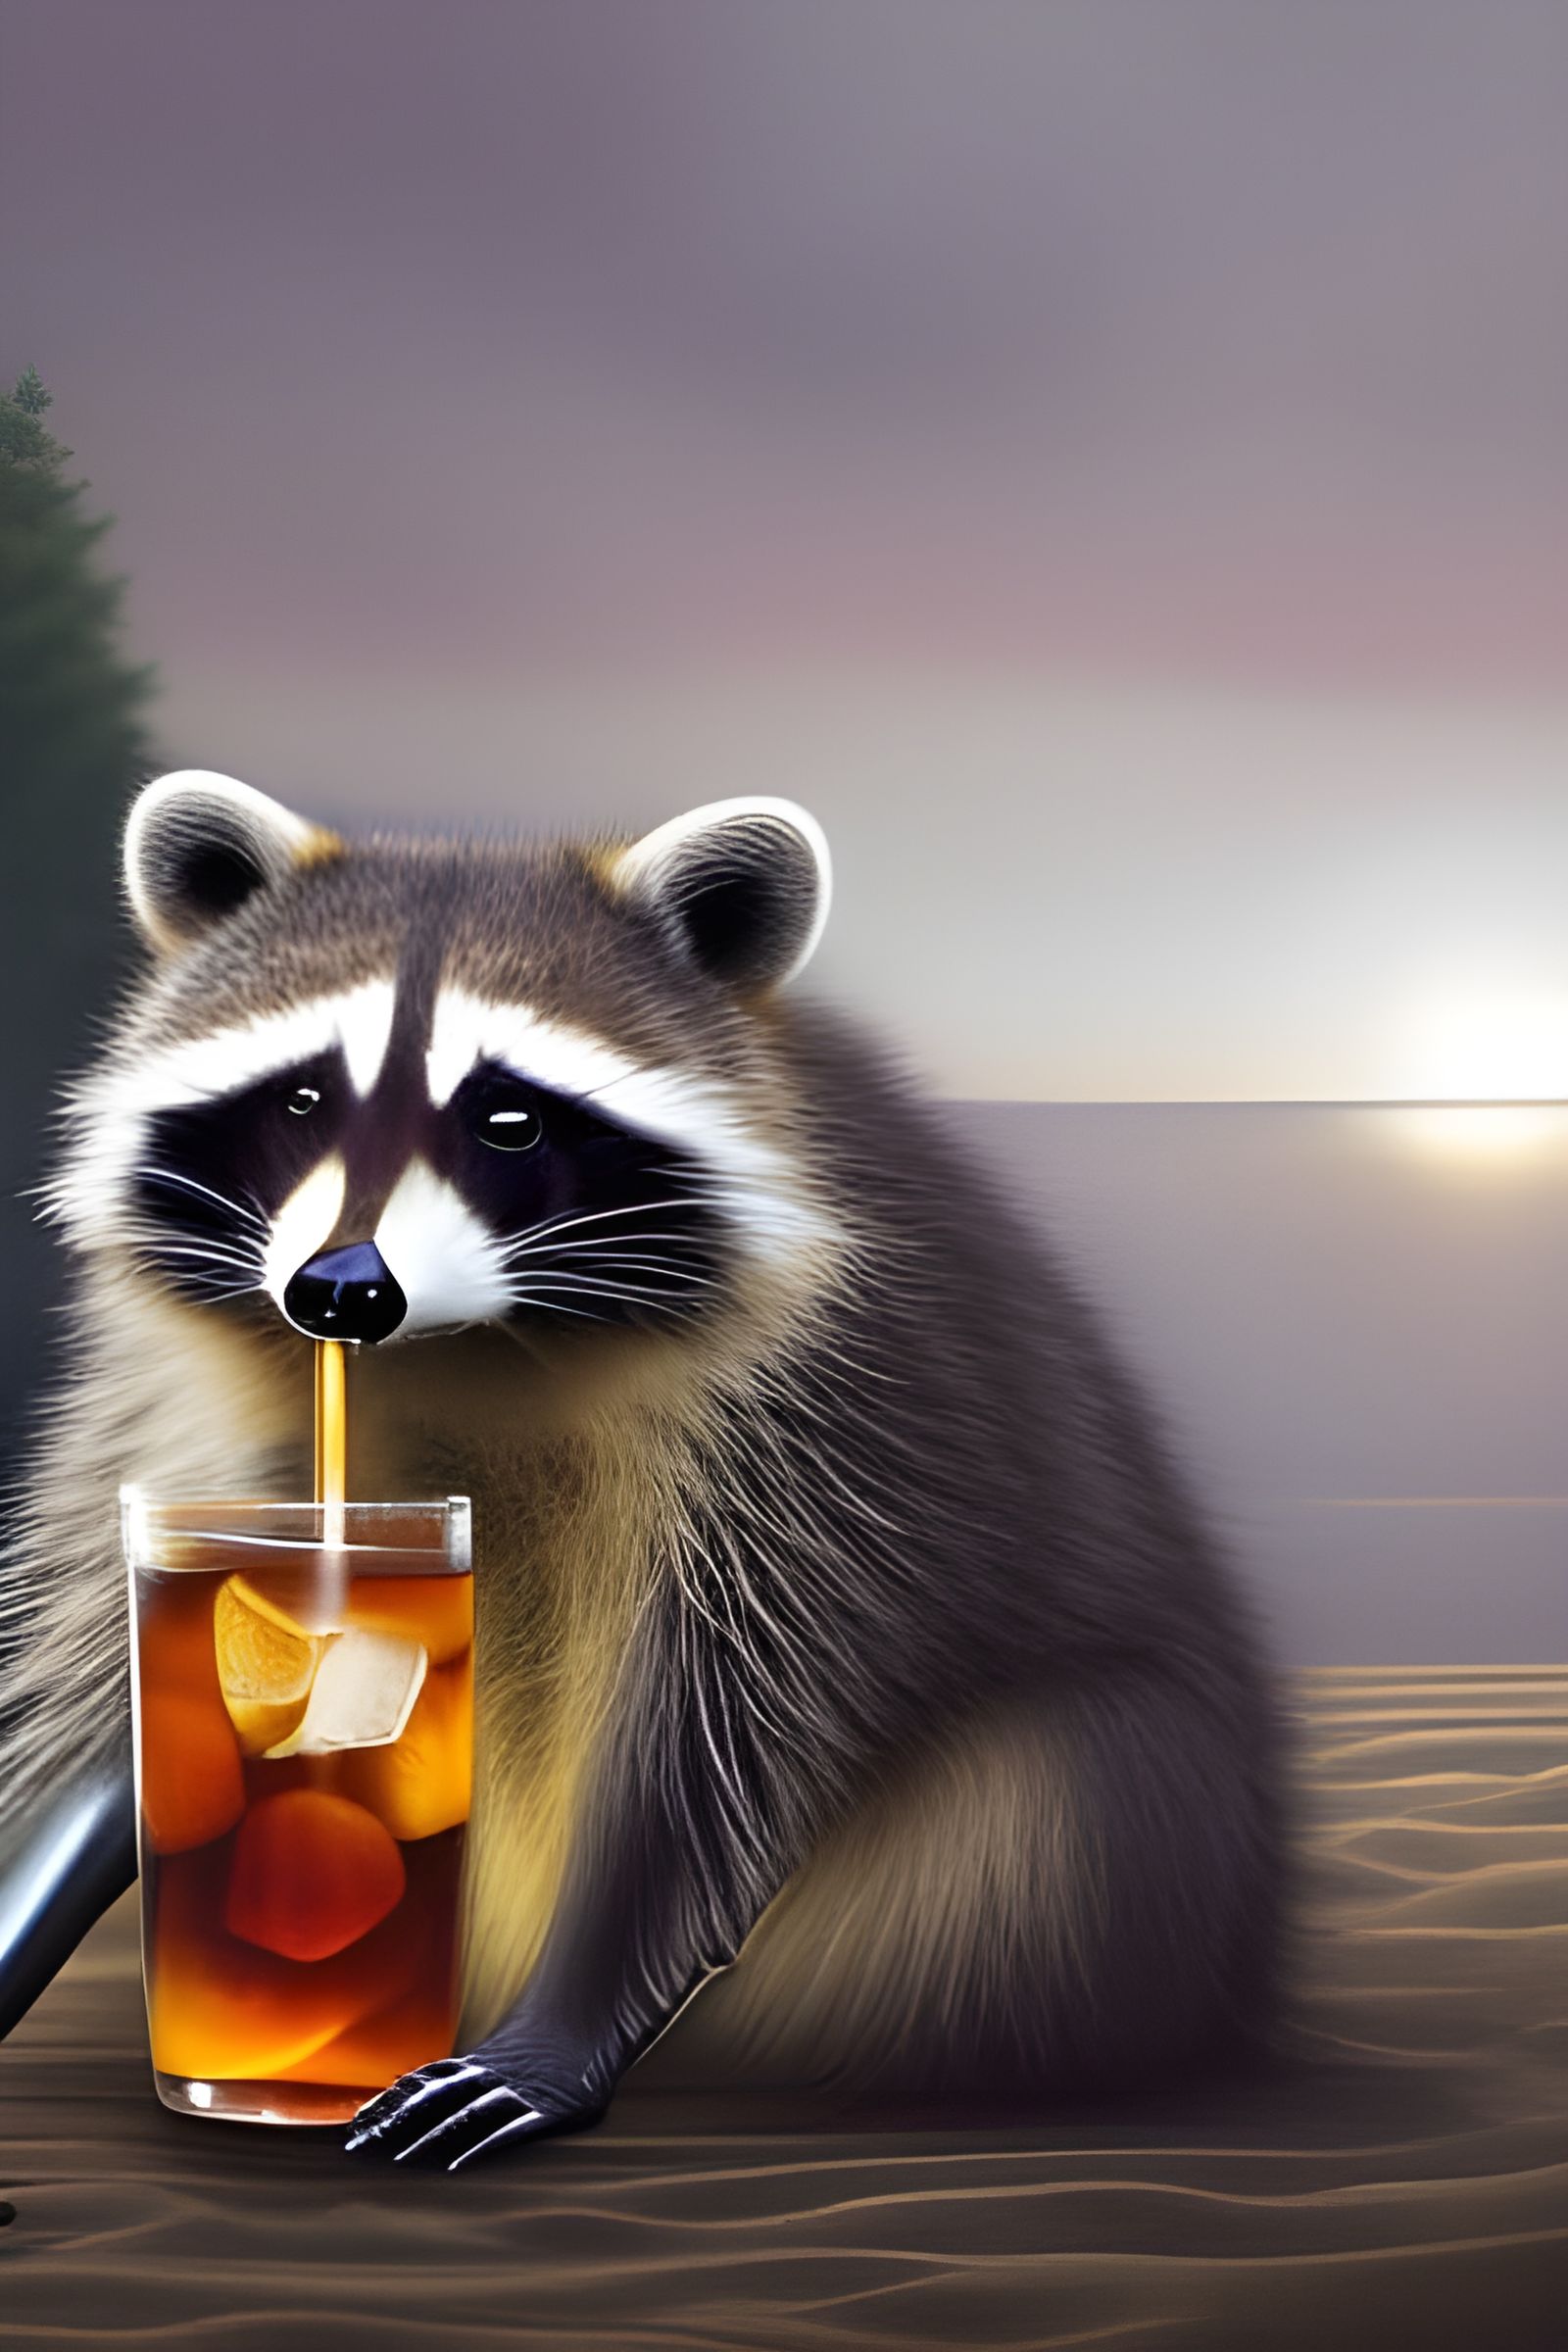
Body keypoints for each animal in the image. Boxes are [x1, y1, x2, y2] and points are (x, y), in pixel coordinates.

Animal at [0, 770, 1287, 2169]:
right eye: (299, 1103)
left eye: (509, 1118)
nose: (341, 1291)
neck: (470, 1348)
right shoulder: (180, 1399)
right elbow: (106, 1687)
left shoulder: (824, 1404)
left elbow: (720, 1720)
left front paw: (560, 2030)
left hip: (1090, 1832)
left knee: (1054, 1799)